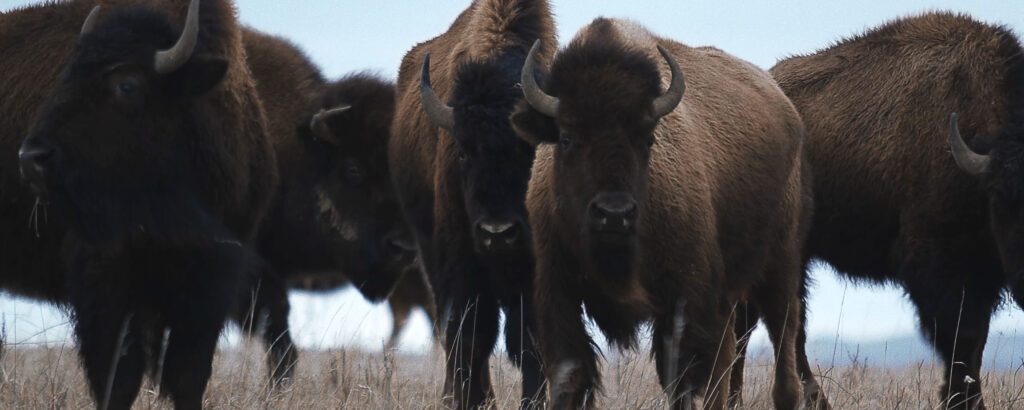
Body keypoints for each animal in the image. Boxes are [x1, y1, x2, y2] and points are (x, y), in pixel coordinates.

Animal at [389, 0, 556, 407]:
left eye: (529, 149)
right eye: (463, 153)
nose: (498, 232)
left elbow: (529, 339)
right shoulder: (460, 258)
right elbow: (470, 333)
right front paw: (464, 398)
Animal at [514, 19, 820, 408]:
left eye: (647, 138)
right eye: (566, 137)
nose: (614, 214)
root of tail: (788, 109)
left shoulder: (683, 301)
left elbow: (681, 380)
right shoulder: (558, 292)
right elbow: (571, 374)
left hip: (780, 264)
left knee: (783, 336)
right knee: (728, 356)